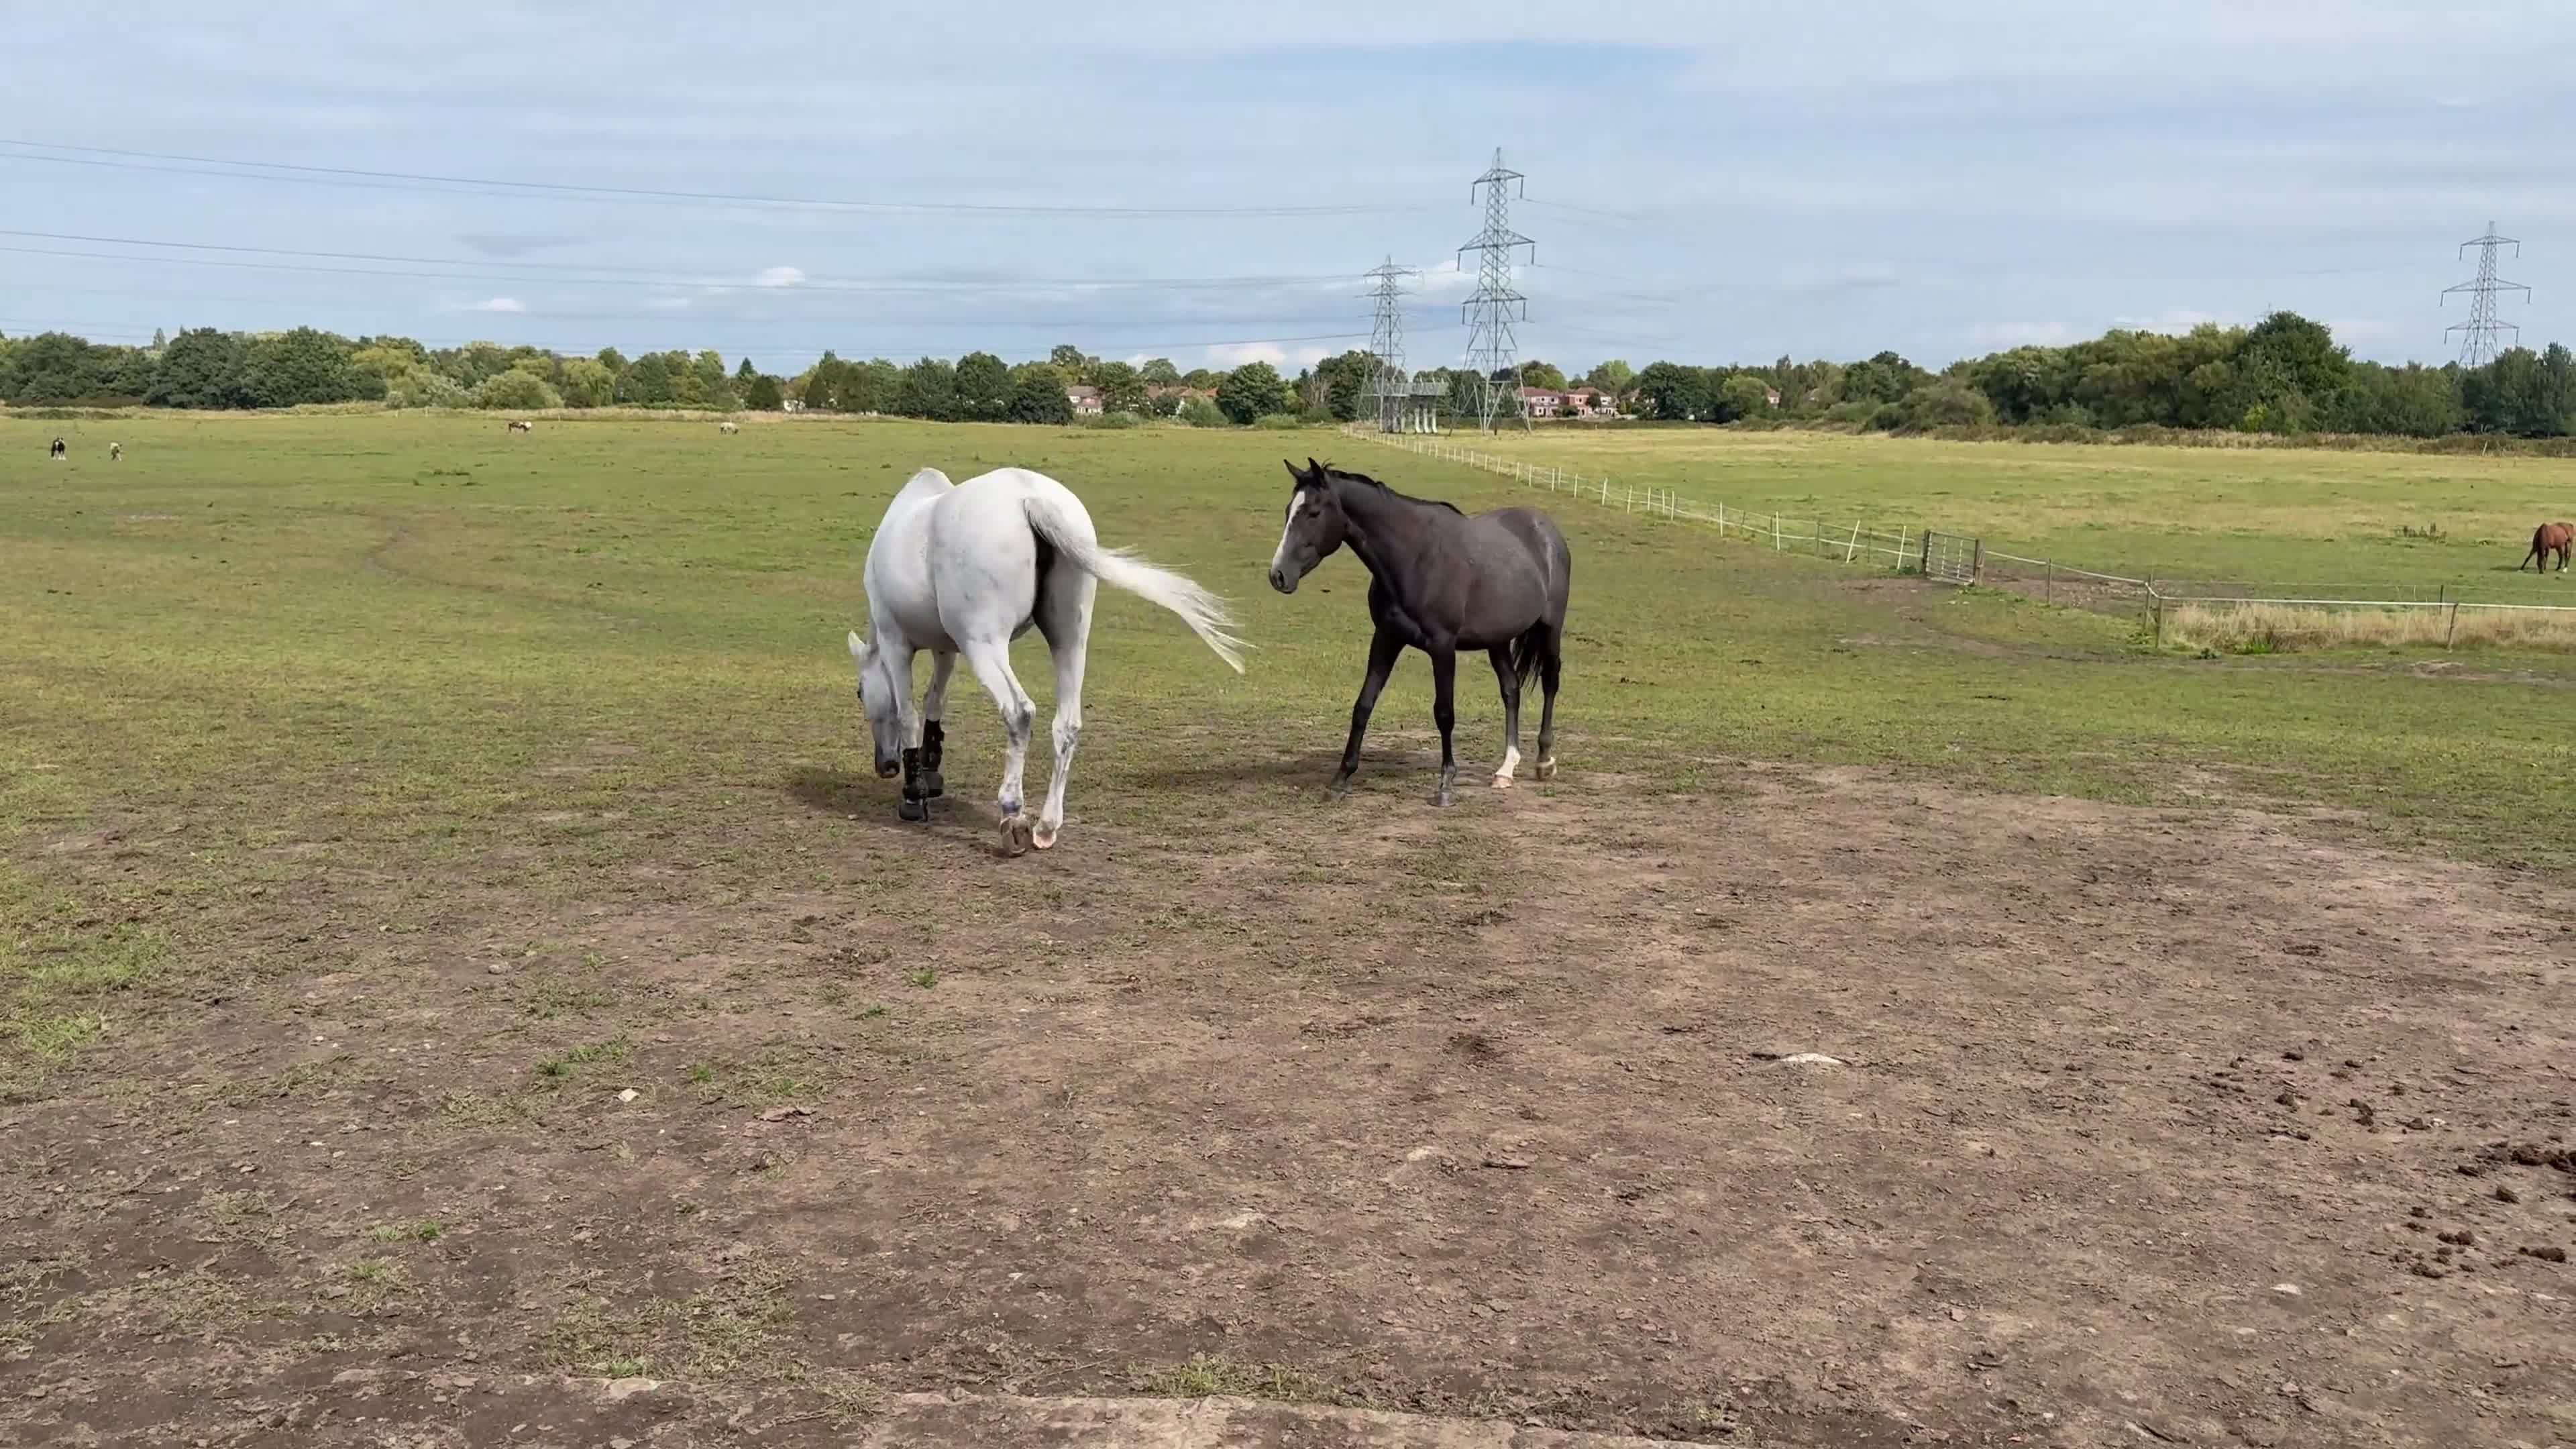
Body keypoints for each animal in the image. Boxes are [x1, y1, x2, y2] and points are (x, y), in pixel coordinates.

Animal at [849, 465, 1245, 854]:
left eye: (859, 692)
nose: (885, 765)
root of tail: (1031, 497)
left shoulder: (896, 643)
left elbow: (908, 714)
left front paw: (914, 795)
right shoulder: (946, 648)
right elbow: (935, 701)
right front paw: (931, 775)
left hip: (985, 645)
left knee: (1019, 711)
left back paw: (1014, 816)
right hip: (1069, 641)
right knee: (1067, 725)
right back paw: (1046, 825)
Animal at [1267, 457, 1570, 805]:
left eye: (1314, 513)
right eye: (1289, 509)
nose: (1278, 575)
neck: (1413, 558)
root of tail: (1546, 529)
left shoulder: (1443, 646)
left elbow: (1444, 713)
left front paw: (1446, 785)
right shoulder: (1386, 638)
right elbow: (1363, 706)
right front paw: (1341, 778)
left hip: (1550, 629)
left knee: (1550, 682)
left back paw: (1544, 761)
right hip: (1498, 640)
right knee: (1511, 690)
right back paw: (1505, 770)